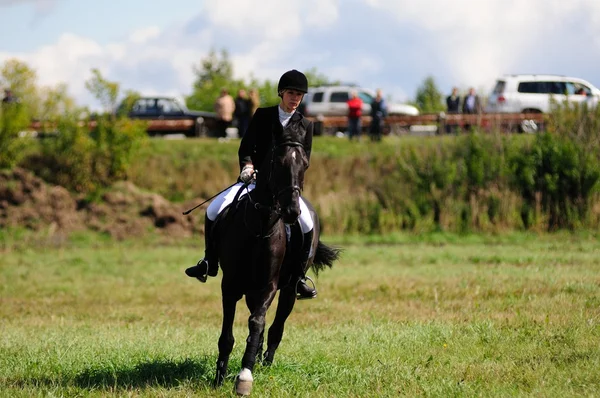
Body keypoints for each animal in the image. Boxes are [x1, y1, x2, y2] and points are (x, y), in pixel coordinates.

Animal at [211, 131, 340, 394]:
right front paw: (220, 377)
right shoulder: (230, 286)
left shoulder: (267, 287)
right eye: (278, 163)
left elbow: (257, 323)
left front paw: (245, 375)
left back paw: (266, 363)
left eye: (305, 165)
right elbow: (228, 335)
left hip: (289, 289)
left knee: (276, 327)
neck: (259, 227)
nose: (292, 210)